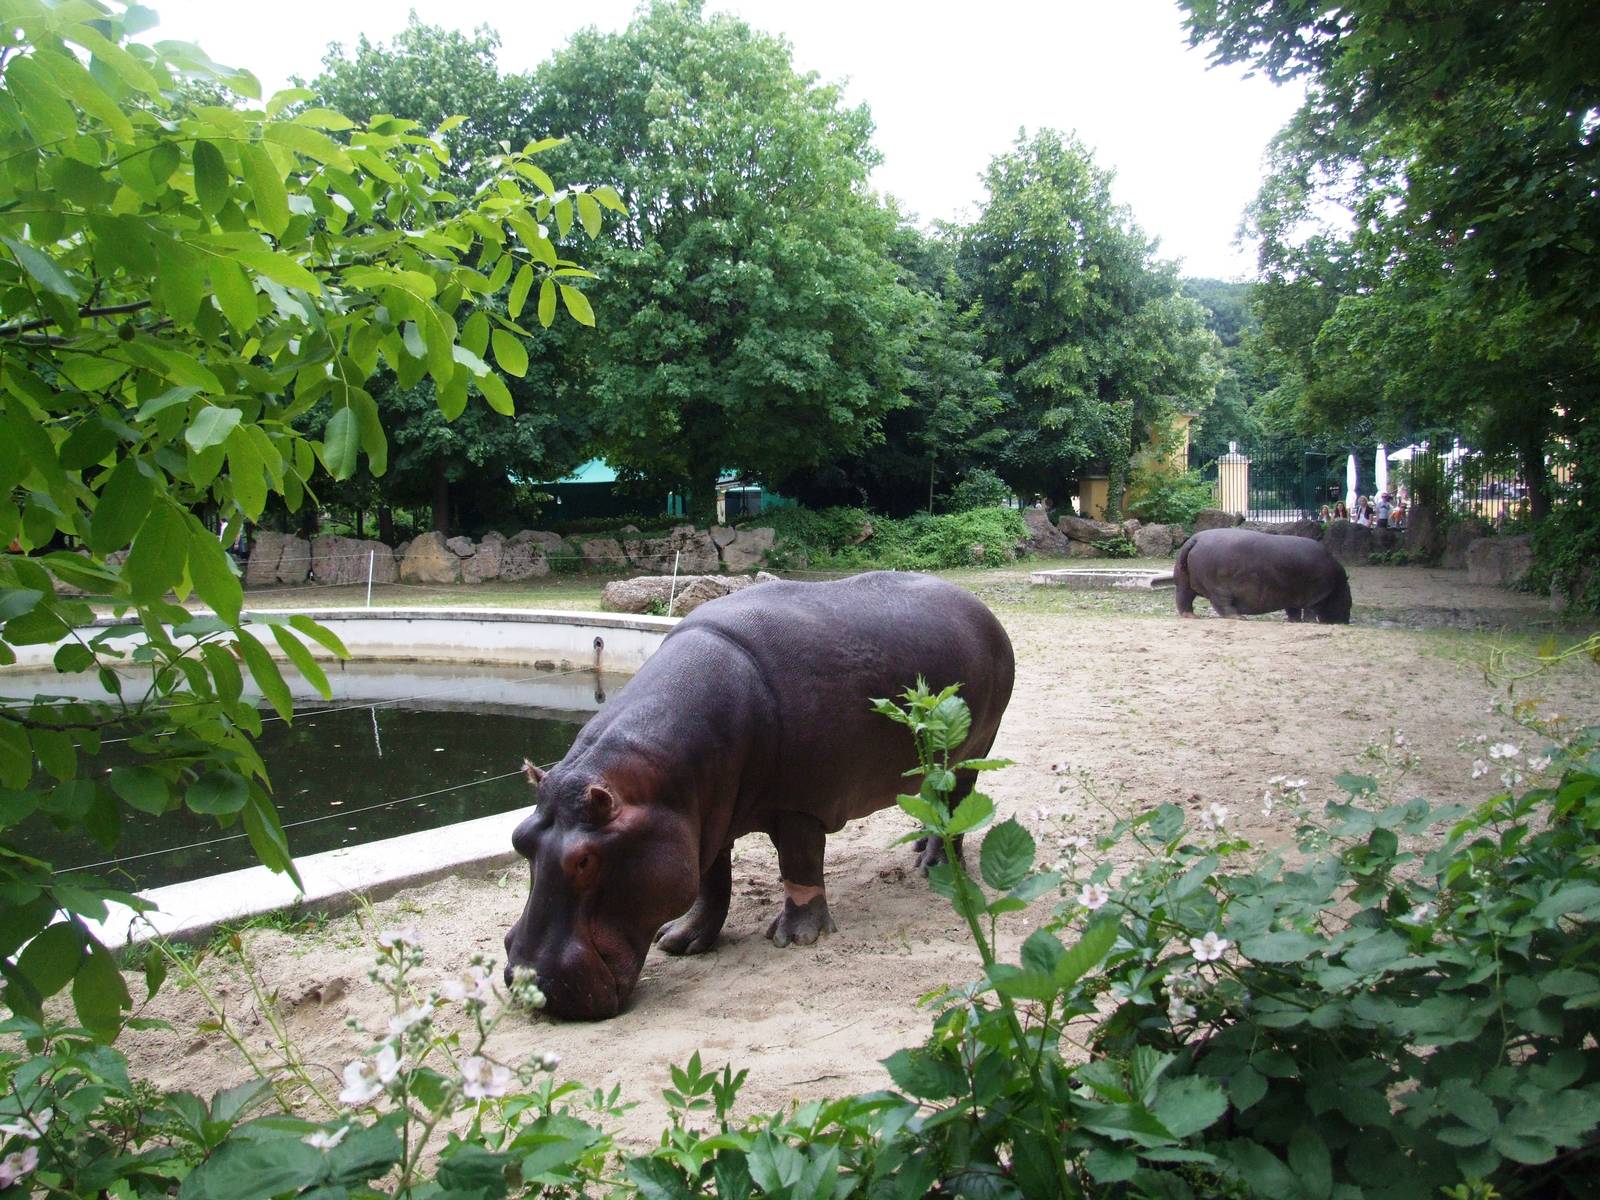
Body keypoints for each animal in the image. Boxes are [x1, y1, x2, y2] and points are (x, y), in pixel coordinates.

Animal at [504, 571, 1014, 1019]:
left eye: (585, 860)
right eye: (519, 839)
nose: (528, 985)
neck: (654, 780)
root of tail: (980, 607)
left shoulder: (798, 807)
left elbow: (799, 867)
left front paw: (796, 939)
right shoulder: (703, 818)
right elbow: (710, 883)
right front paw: (680, 940)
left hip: (972, 751)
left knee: (956, 807)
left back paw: (935, 867)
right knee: (932, 799)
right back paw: (918, 849)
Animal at [1173, 527, 1351, 623]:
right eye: (1348, 602)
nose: (1345, 621)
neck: (1339, 583)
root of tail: (1194, 539)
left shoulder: (1291, 597)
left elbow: (1293, 611)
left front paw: (1295, 621)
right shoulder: (1314, 596)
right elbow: (1309, 611)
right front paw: (1309, 622)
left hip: (1184, 583)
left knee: (1184, 599)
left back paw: (1192, 616)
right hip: (1219, 589)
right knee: (1223, 606)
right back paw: (1240, 618)